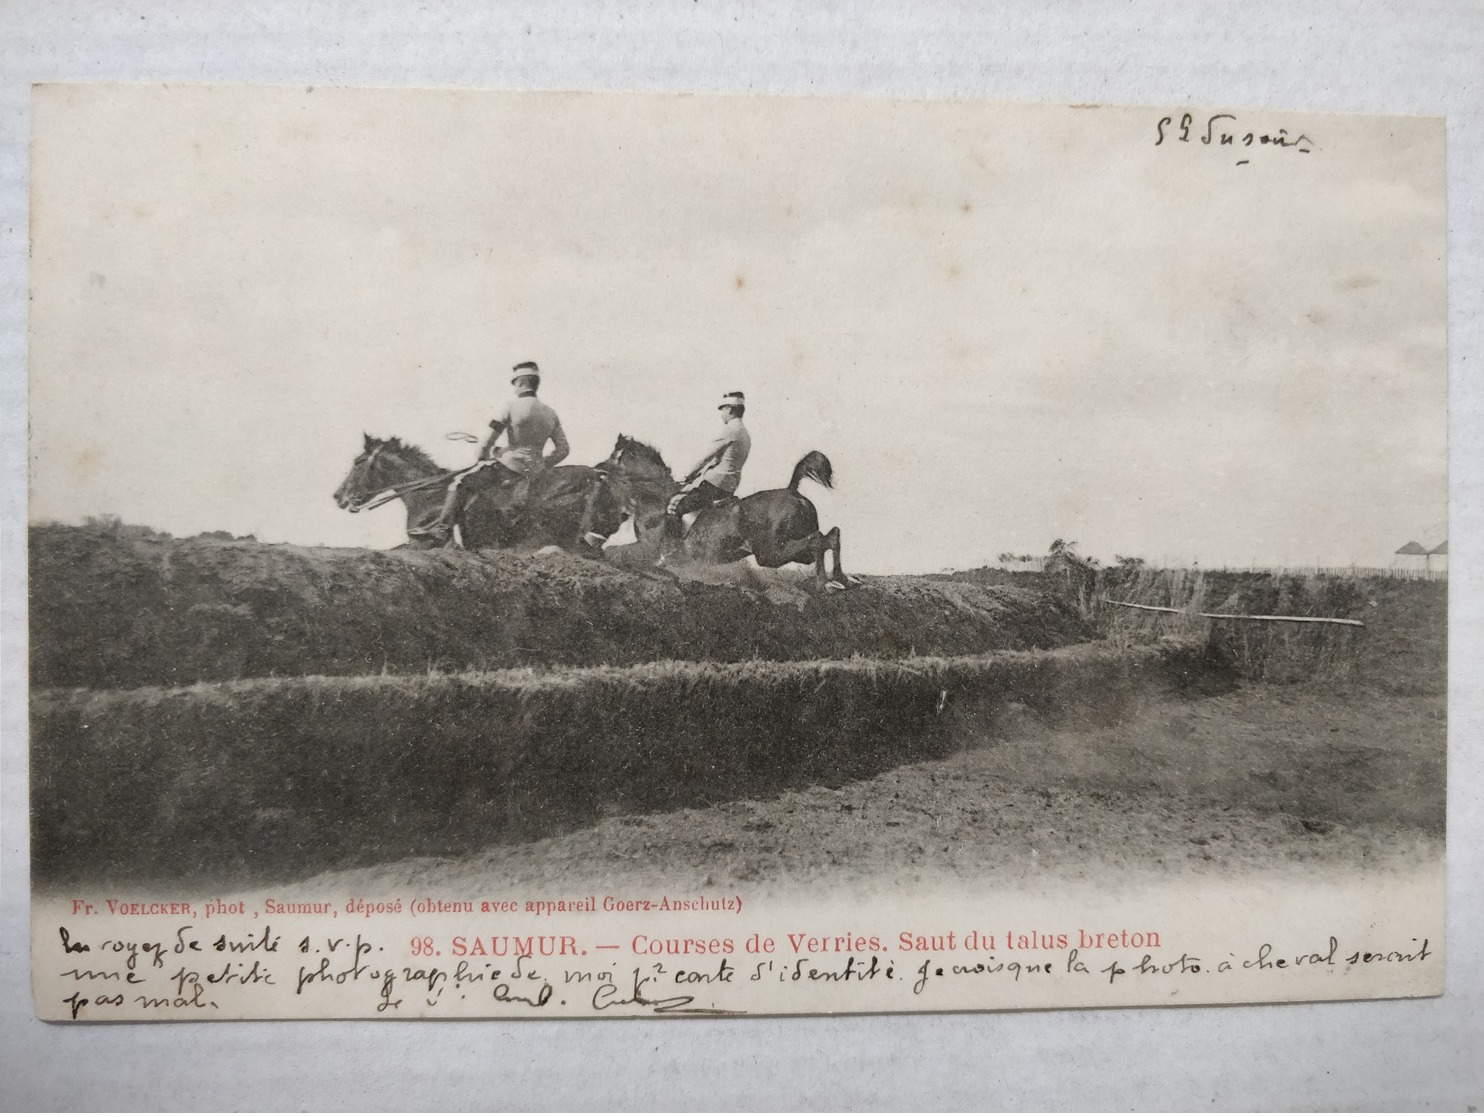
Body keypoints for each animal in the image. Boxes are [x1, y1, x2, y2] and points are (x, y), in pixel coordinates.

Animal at [593, 436, 860, 593]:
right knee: (830, 536)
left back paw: (824, 583)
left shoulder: (650, 548)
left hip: (770, 553)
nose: (597, 468)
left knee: (818, 540)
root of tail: (792, 492)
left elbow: (616, 551)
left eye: (615, 455)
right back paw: (842, 579)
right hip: (790, 551)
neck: (655, 497)